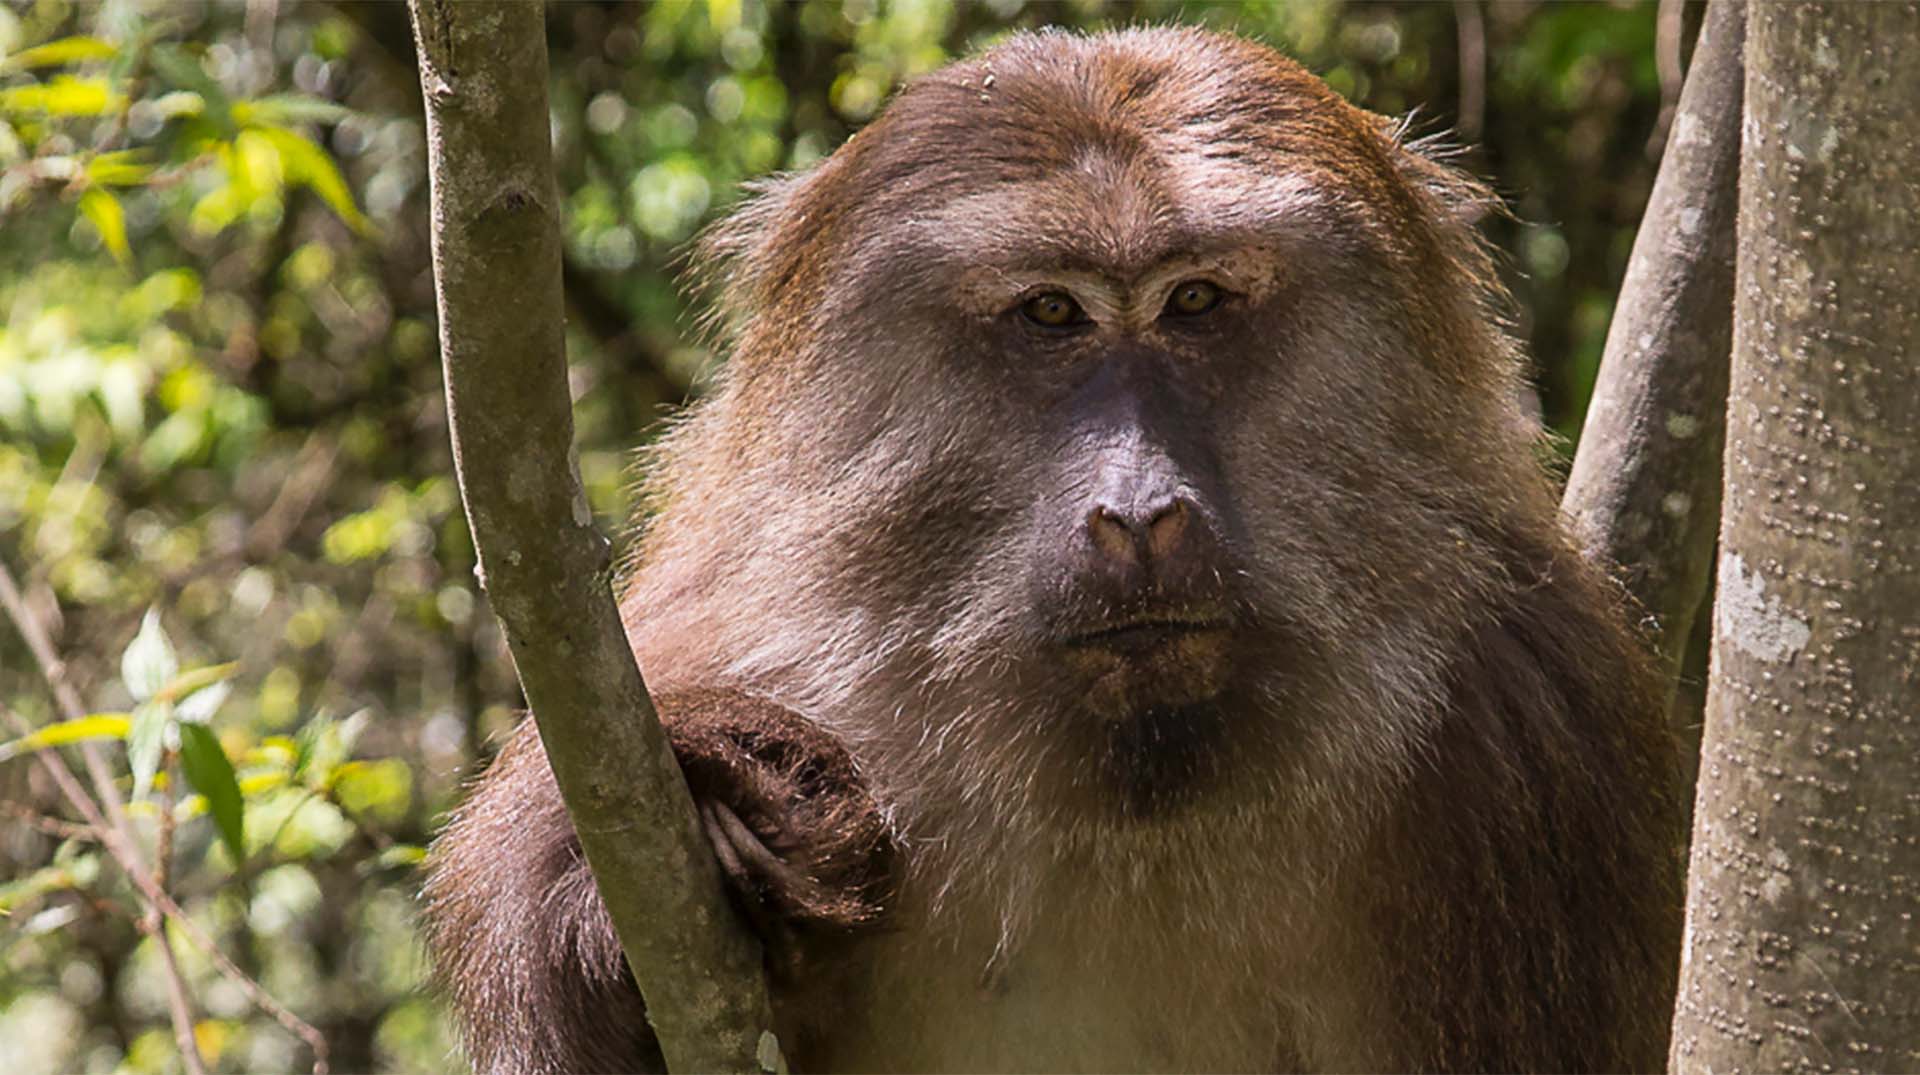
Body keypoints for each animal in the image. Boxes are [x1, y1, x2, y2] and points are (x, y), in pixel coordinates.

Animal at [420, 25, 1681, 1075]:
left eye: (1194, 301)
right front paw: (713, 828)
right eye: (1051, 314)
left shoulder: (1531, 730)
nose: (1138, 511)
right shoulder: (712, 640)